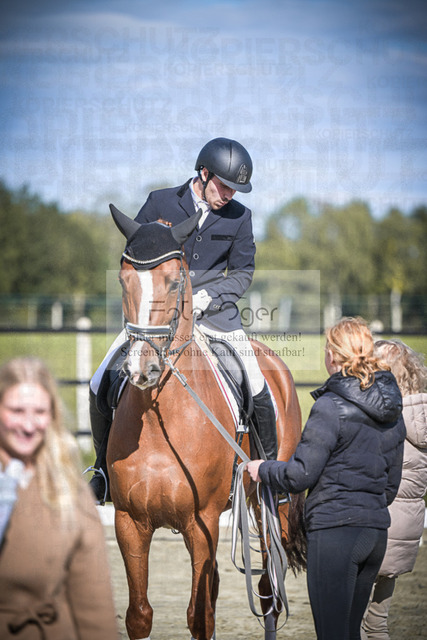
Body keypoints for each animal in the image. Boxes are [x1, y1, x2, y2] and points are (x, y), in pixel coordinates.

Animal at [106, 204, 306, 640]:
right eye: (124, 278)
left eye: (175, 280)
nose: (142, 369)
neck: (160, 414)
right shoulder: (129, 522)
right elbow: (140, 615)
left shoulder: (202, 524)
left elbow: (200, 616)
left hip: (270, 506)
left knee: (269, 582)